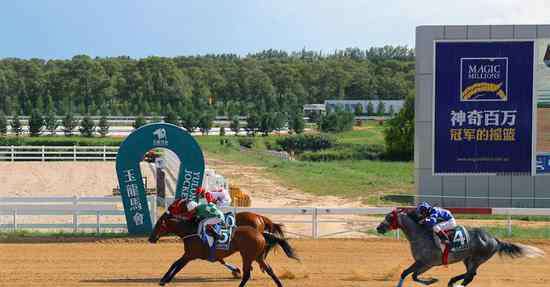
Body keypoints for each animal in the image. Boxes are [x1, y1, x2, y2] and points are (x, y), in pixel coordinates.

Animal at [149, 213, 300, 286]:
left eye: (158, 225)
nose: (151, 238)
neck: (191, 231)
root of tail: (261, 233)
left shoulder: (190, 255)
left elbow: (176, 265)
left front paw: (164, 280)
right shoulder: (189, 255)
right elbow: (175, 264)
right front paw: (165, 279)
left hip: (247, 255)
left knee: (247, 274)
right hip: (257, 256)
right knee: (269, 270)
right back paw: (280, 284)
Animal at [378, 209, 544, 287]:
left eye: (389, 217)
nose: (378, 228)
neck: (420, 234)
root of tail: (494, 239)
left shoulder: (426, 263)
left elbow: (410, 274)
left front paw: (433, 280)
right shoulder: (424, 263)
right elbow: (407, 274)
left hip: (478, 258)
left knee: (470, 275)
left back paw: (454, 282)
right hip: (468, 258)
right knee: (470, 275)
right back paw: (453, 282)